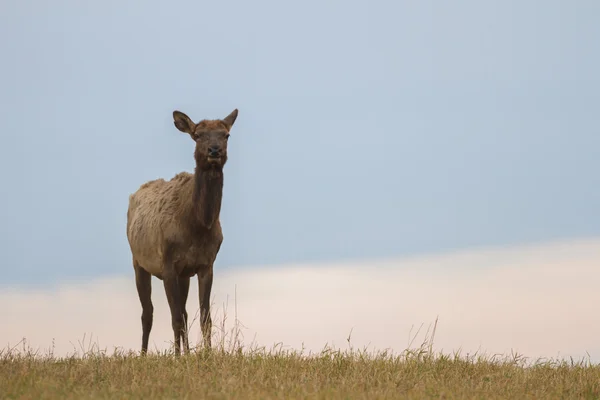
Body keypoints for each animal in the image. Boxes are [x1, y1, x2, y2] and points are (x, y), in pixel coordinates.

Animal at [126, 108, 239, 354]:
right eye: (197, 135)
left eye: (226, 135)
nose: (214, 150)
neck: (196, 228)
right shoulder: (168, 264)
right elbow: (175, 318)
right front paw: (177, 357)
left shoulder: (205, 264)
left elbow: (204, 317)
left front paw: (205, 354)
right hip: (138, 262)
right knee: (147, 313)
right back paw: (143, 354)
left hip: (183, 275)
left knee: (185, 313)